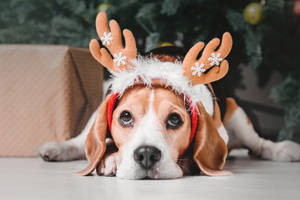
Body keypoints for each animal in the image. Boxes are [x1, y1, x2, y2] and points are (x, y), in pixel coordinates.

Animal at [38, 12, 300, 178]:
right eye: (125, 117)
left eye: (175, 120)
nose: (146, 154)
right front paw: (111, 158)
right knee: (81, 141)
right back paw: (57, 148)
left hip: (237, 114)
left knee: (259, 144)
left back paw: (283, 149)